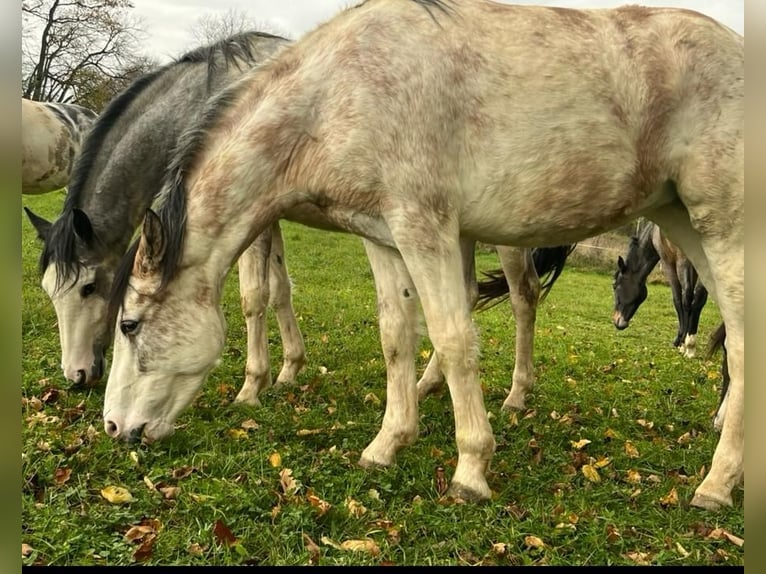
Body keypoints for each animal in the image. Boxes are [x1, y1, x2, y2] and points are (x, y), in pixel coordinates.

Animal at [612, 219, 712, 356]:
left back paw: (686, 344)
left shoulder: (668, 262)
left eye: (615, 286)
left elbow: (678, 300)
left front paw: (680, 342)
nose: (617, 320)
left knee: (687, 297)